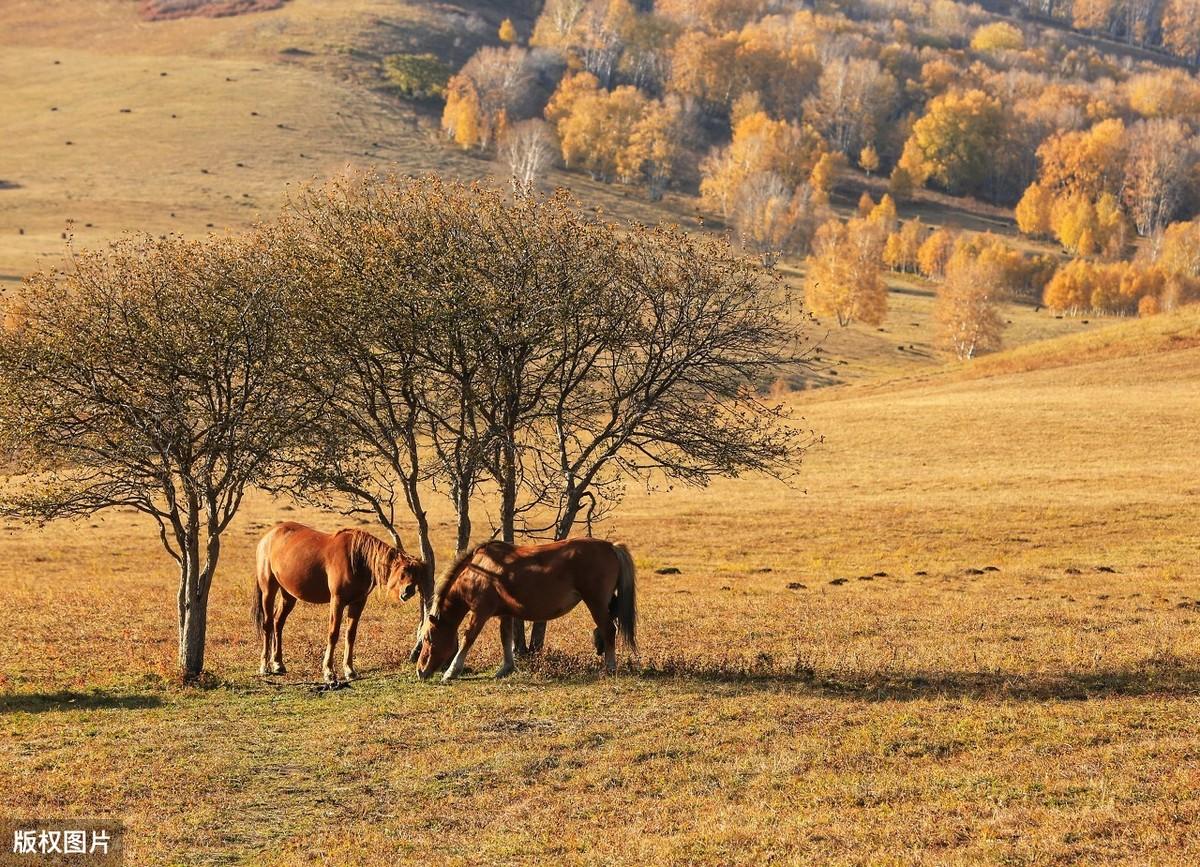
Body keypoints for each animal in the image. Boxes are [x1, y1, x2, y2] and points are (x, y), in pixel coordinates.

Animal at [249, 521, 432, 682]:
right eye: (402, 571)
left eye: (417, 574)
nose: (408, 591)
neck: (357, 560)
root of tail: (268, 537)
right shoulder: (337, 601)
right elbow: (333, 634)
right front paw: (329, 672)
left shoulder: (358, 602)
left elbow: (350, 635)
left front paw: (349, 670)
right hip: (268, 590)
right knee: (267, 624)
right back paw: (265, 666)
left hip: (288, 595)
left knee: (278, 623)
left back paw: (278, 664)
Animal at [417, 533, 638, 682]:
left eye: (428, 639)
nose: (420, 670)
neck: (479, 570)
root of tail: (611, 547)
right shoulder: (505, 613)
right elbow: (506, 638)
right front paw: (506, 668)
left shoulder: (480, 612)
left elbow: (468, 638)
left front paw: (451, 671)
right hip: (605, 601)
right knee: (610, 621)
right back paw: (599, 643)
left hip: (595, 602)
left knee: (609, 629)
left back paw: (610, 667)